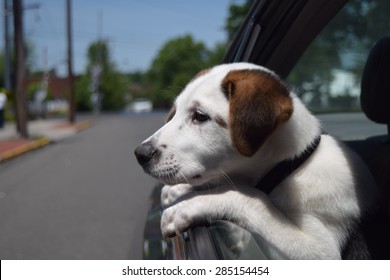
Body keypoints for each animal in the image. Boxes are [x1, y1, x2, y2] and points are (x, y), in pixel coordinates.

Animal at [134, 62, 378, 260]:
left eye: (200, 116)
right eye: (174, 113)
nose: (140, 154)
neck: (291, 167)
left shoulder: (321, 249)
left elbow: (251, 198)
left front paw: (185, 207)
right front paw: (177, 191)